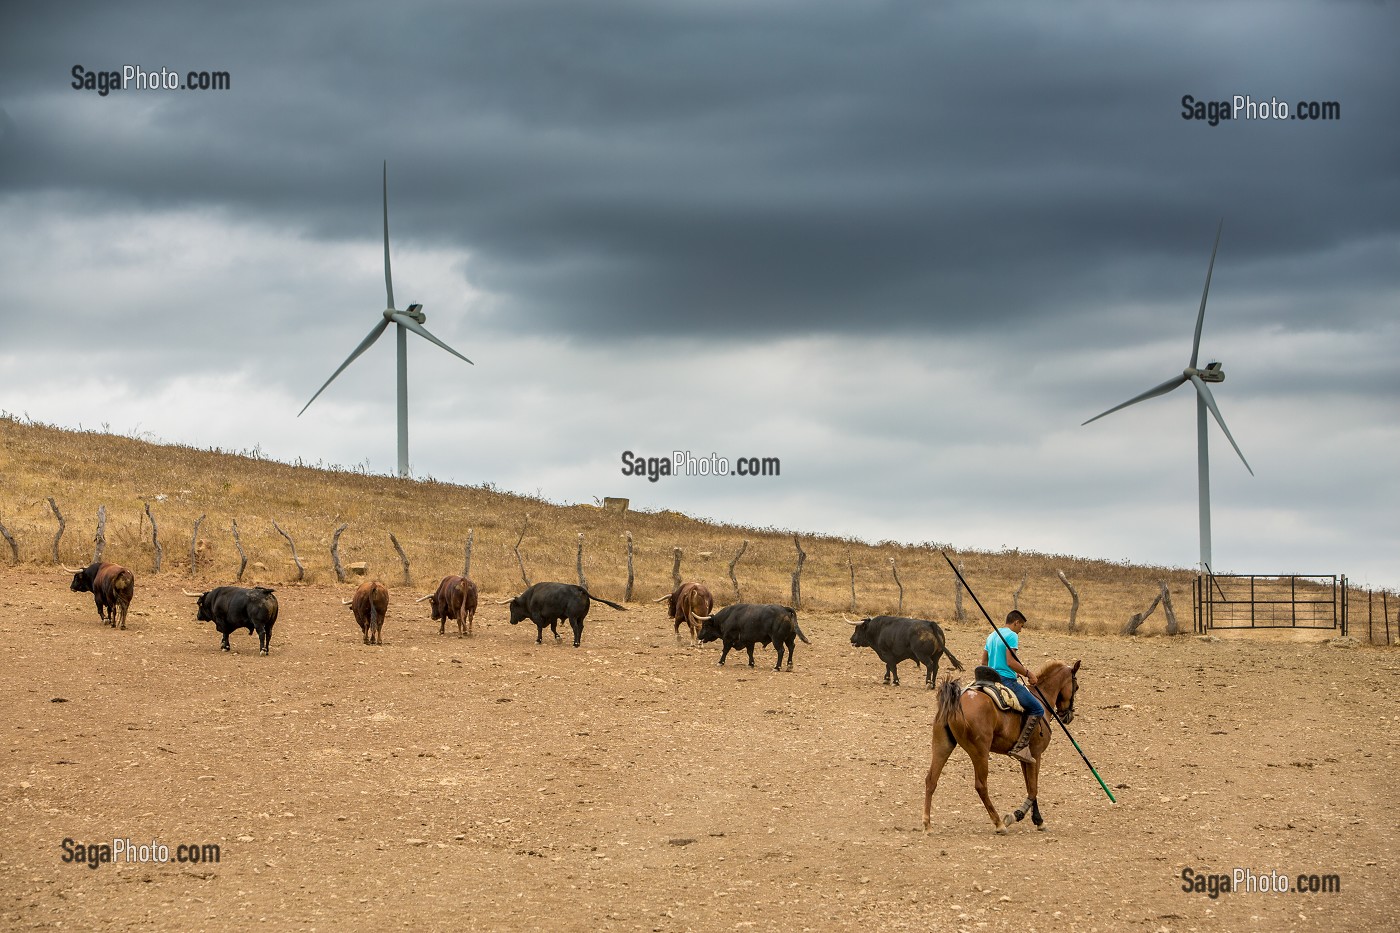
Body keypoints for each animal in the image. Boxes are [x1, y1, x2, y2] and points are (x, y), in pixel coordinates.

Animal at [929, 658, 1080, 829]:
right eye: (1076, 687)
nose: (1068, 716)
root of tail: (956, 702)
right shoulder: (1036, 754)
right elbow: (1034, 788)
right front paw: (1020, 816)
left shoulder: (1025, 758)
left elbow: (1029, 786)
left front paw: (1034, 818)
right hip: (980, 752)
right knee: (981, 785)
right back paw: (999, 823)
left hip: (943, 745)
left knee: (931, 780)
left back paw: (927, 825)